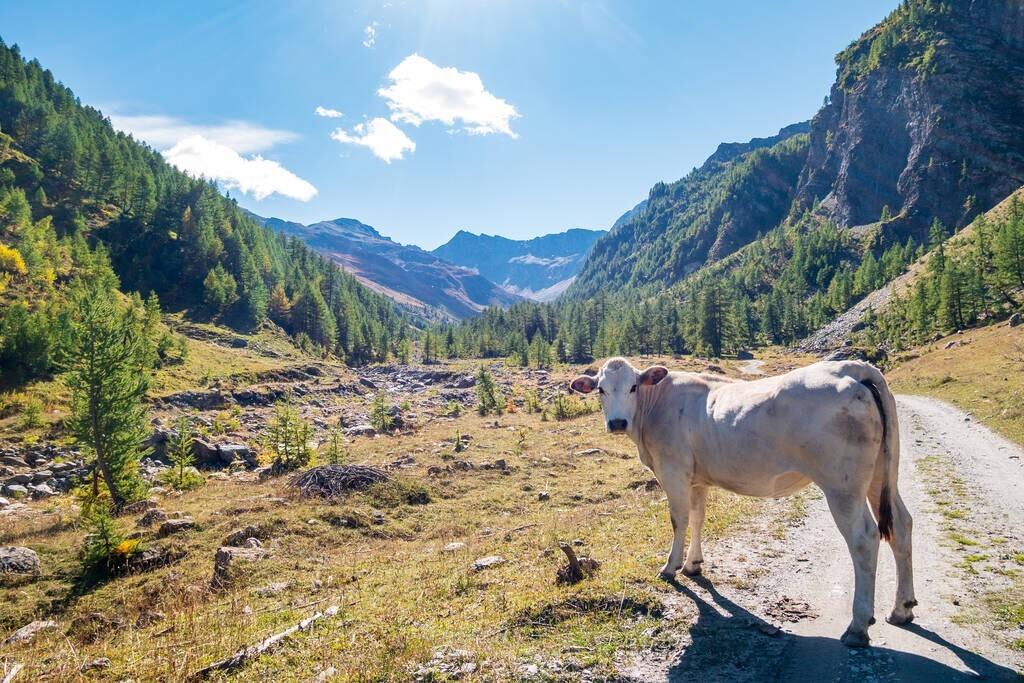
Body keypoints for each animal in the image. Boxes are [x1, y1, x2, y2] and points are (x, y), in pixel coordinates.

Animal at [573, 358, 917, 647]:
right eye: (601, 389)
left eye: (633, 386)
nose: (617, 422)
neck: (654, 407)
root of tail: (854, 367)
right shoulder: (697, 478)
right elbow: (698, 517)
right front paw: (693, 565)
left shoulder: (673, 470)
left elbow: (679, 519)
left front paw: (670, 568)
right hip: (882, 473)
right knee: (902, 524)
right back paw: (902, 609)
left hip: (842, 484)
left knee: (864, 538)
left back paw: (858, 627)